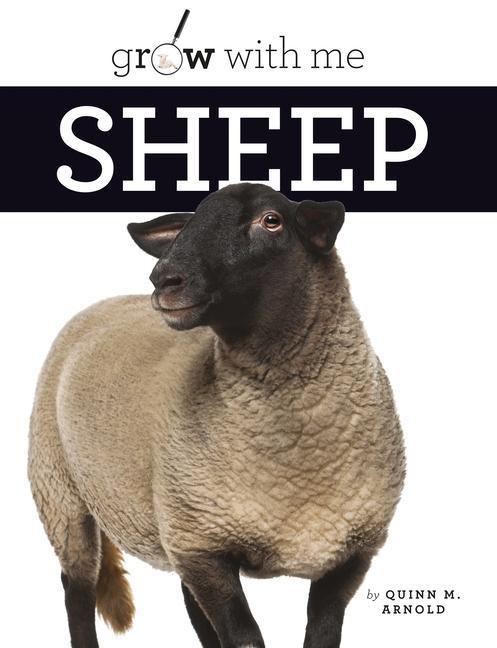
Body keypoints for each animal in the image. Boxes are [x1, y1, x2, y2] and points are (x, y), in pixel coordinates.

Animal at [28, 182, 405, 648]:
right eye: (188, 225)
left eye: (271, 221)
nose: (164, 278)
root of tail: (105, 303)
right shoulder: (203, 546)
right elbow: (244, 637)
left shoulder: (353, 552)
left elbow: (321, 633)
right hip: (60, 491)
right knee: (77, 588)